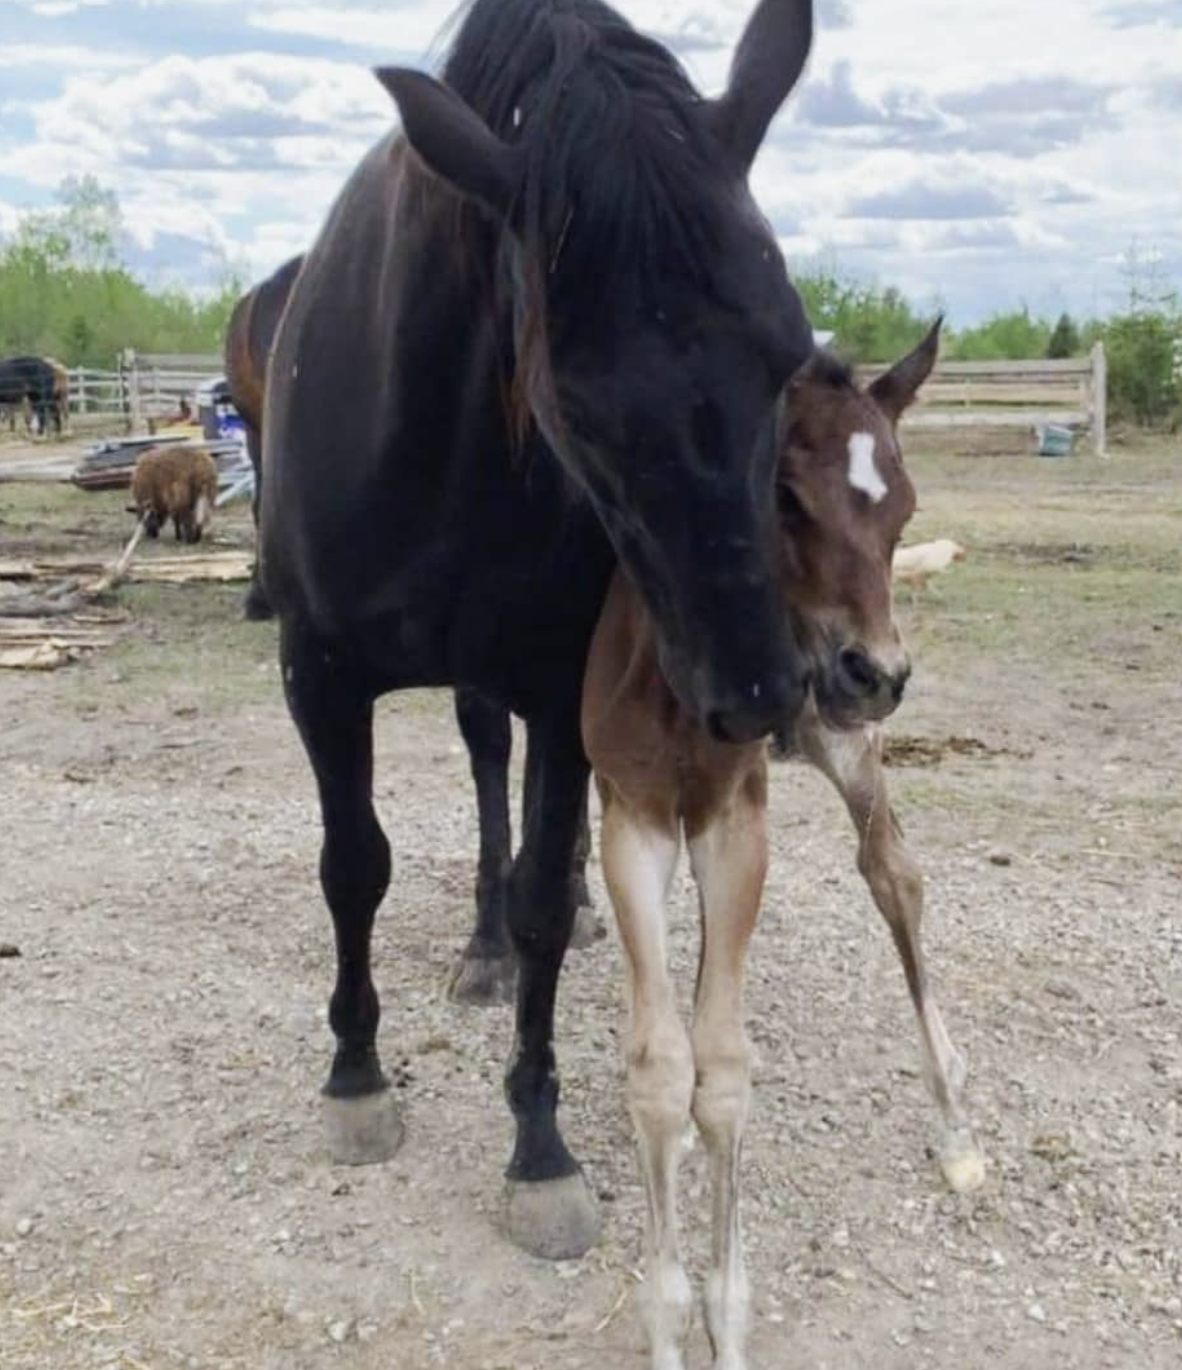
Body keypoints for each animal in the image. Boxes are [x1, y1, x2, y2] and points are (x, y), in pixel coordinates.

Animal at [261, 0, 810, 1254]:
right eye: (578, 399)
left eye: (791, 356)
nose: (756, 692)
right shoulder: (318, 673)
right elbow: (352, 864)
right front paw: (355, 1076)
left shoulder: (562, 689)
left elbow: (546, 903)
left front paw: (539, 1146)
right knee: (478, 765)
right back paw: (476, 950)